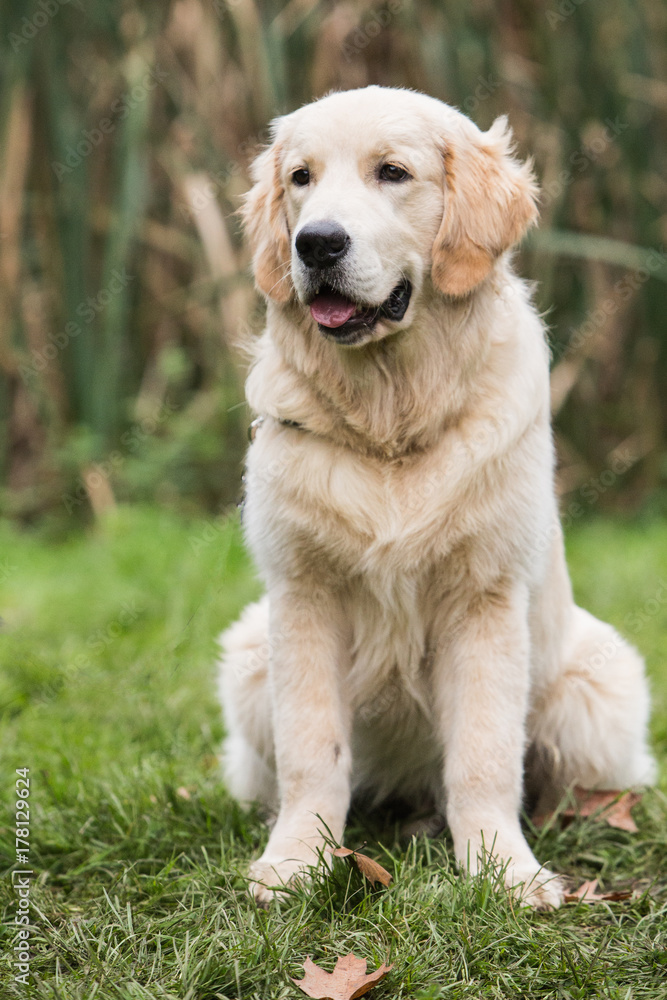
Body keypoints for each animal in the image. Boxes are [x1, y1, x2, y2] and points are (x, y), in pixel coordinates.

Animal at [217, 90, 656, 912]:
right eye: (299, 178)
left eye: (392, 172)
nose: (316, 244)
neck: (391, 421)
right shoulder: (303, 597)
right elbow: (311, 750)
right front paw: (296, 860)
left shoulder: (483, 599)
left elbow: (484, 756)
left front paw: (504, 869)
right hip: (249, 658)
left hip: (597, 686)